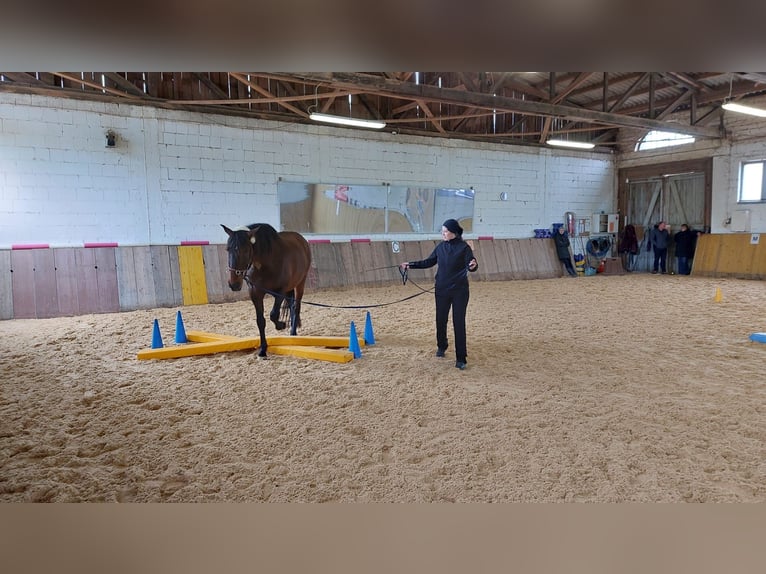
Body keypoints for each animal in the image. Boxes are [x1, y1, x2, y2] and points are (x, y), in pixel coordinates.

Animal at [221, 223, 312, 358]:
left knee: (296, 306)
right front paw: (263, 349)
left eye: (246, 250)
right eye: (228, 249)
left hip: (300, 283)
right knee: (291, 305)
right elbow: (260, 321)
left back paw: (293, 332)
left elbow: (273, 314)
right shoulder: (255, 293)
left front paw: (281, 325)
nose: (234, 284)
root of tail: (301, 239)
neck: (266, 263)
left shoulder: (280, 292)